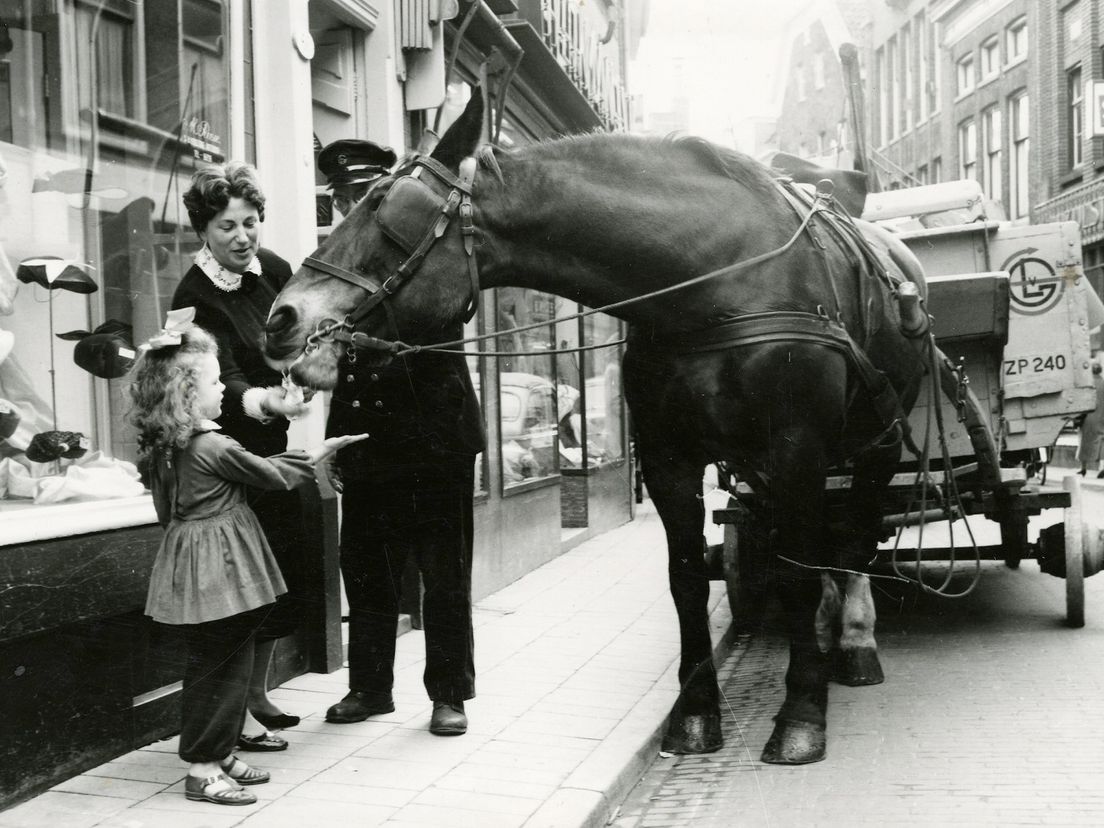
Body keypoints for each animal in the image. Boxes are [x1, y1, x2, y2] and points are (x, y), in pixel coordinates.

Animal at [262, 89, 936, 763]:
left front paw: (800, 718)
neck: (721, 278)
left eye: (384, 205)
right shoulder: (669, 458)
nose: (281, 316)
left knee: (853, 536)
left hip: (875, 442)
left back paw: (854, 644)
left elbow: (797, 575)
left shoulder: (796, 447)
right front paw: (696, 715)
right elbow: (689, 580)